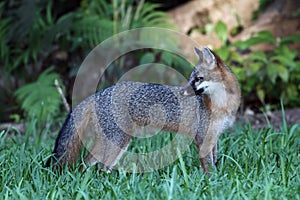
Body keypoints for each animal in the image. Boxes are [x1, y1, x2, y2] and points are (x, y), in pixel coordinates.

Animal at [45, 47, 241, 175]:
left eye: (198, 79)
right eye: (191, 78)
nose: (183, 92)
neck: (221, 105)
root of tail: (99, 93)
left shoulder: (214, 137)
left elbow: (214, 160)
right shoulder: (202, 137)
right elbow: (208, 164)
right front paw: (212, 180)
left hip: (106, 143)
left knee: (86, 164)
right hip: (119, 142)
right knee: (101, 168)